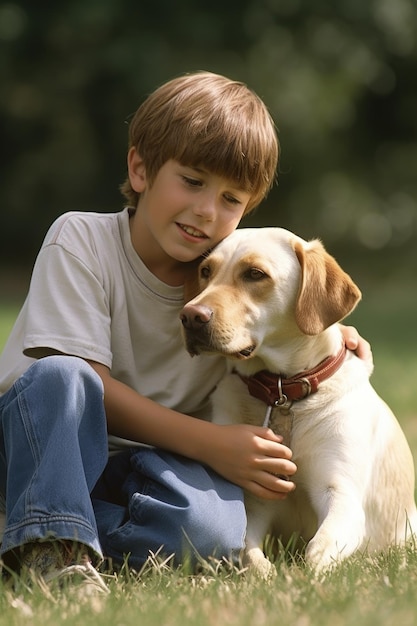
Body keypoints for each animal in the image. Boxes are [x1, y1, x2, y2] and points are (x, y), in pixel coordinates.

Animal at [180, 227, 416, 572]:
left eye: (255, 274)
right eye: (205, 271)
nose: (190, 316)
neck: (283, 392)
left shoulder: (340, 494)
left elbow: (318, 549)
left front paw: (305, 576)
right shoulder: (257, 498)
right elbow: (249, 552)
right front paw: (266, 575)